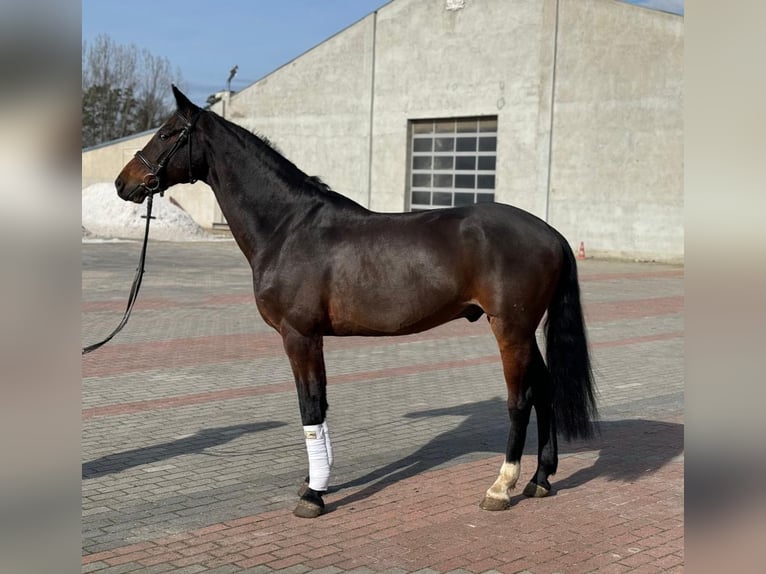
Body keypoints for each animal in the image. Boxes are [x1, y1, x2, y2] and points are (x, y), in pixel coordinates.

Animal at [115, 86, 600, 520]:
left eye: (167, 133)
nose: (124, 183)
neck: (288, 227)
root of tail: (550, 233)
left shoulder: (299, 336)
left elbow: (310, 406)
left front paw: (313, 495)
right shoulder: (311, 338)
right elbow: (321, 404)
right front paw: (317, 482)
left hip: (510, 329)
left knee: (521, 398)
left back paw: (501, 487)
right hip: (523, 331)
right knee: (545, 389)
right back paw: (540, 479)